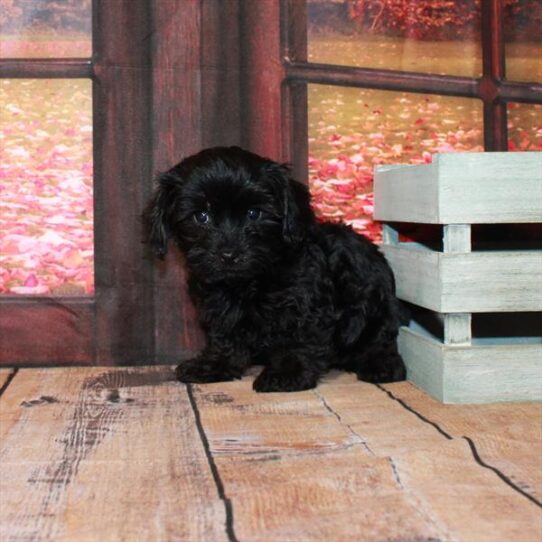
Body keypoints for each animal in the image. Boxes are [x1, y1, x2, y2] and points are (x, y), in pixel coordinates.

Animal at [146, 147, 408, 394]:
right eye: (202, 216)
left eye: (254, 213)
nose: (229, 255)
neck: (250, 280)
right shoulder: (218, 305)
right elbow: (224, 335)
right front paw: (214, 364)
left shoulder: (306, 303)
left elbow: (298, 337)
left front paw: (286, 373)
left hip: (377, 304)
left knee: (380, 338)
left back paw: (381, 364)